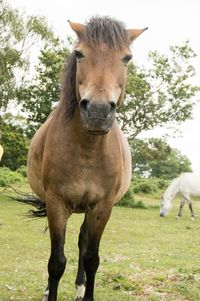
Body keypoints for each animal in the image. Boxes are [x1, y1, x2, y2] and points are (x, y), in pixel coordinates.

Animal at [27, 17, 147, 300]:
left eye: (127, 58)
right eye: (79, 54)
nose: (98, 111)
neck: (88, 151)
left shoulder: (103, 207)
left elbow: (92, 258)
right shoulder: (56, 203)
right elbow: (56, 262)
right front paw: (51, 291)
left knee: (82, 240)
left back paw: (80, 286)